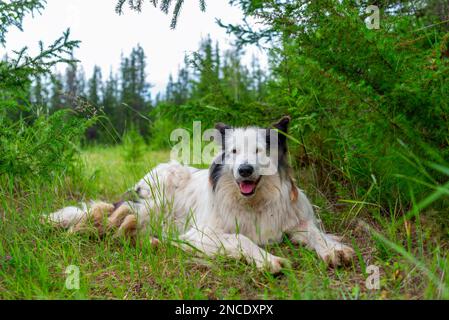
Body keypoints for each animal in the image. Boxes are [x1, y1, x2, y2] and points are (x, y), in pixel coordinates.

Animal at [45, 117, 354, 272]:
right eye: (233, 152)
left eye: (259, 151)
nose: (244, 170)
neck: (252, 203)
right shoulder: (201, 233)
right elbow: (241, 239)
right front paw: (267, 260)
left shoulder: (296, 223)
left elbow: (316, 234)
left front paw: (334, 250)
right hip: (158, 196)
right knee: (120, 219)